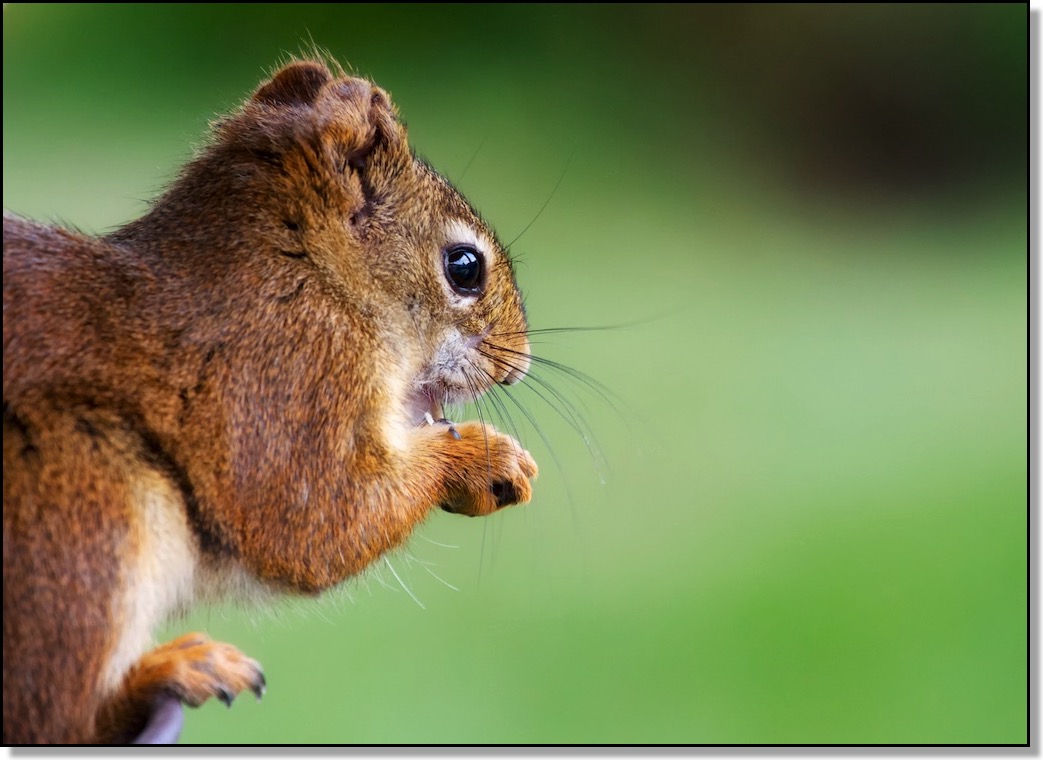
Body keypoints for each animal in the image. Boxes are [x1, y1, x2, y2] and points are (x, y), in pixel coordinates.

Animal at [0, 57, 538, 742]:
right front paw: (482, 461)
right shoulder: (285, 378)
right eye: (464, 267)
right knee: (59, 719)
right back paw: (167, 673)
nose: (518, 367)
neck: (310, 275)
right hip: (81, 506)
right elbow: (313, 520)